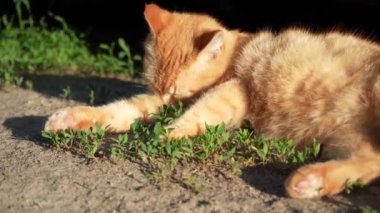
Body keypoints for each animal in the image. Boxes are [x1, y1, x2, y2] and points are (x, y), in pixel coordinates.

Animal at [44, 3, 380, 199]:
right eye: (159, 88)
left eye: (177, 92)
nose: (169, 102)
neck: (237, 52)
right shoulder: (155, 102)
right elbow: (121, 110)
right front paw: (69, 118)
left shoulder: (234, 91)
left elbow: (195, 115)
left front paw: (163, 134)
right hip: (344, 138)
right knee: (370, 160)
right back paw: (311, 182)